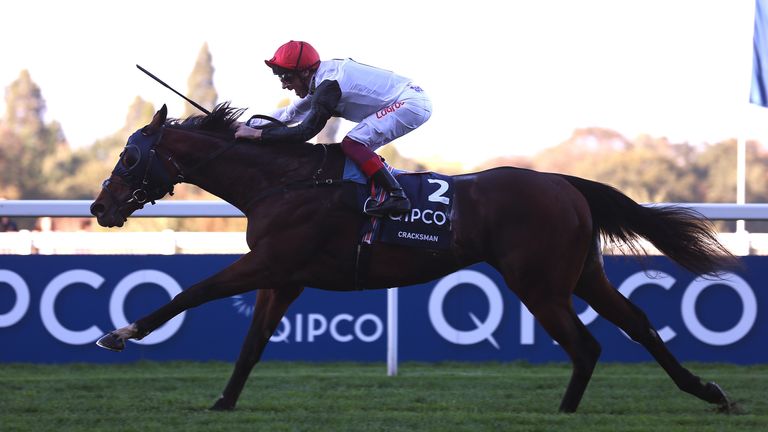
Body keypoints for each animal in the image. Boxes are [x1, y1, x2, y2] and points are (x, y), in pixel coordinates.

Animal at [88, 103, 736, 414]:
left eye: (128, 157)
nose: (100, 206)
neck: (283, 183)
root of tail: (562, 182)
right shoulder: (284, 278)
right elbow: (250, 346)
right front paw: (223, 402)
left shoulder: (269, 263)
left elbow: (190, 293)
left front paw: (120, 333)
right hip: (579, 274)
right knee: (637, 324)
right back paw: (709, 391)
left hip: (539, 283)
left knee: (587, 344)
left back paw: (567, 410)